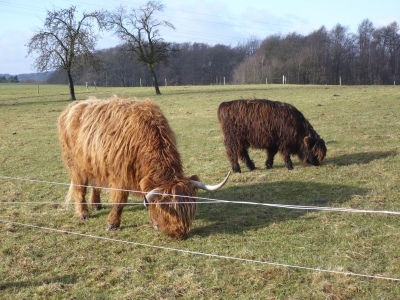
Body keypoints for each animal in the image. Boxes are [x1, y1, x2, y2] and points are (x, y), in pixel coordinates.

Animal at [57, 96, 230, 239]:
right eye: (168, 212)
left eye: (190, 211)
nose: (178, 234)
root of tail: (73, 105)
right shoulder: (120, 175)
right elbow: (120, 201)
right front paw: (112, 224)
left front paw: (154, 223)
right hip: (75, 165)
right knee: (80, 188)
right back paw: (83, 213)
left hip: (95, 164)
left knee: (95, 184)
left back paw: (96, 205)